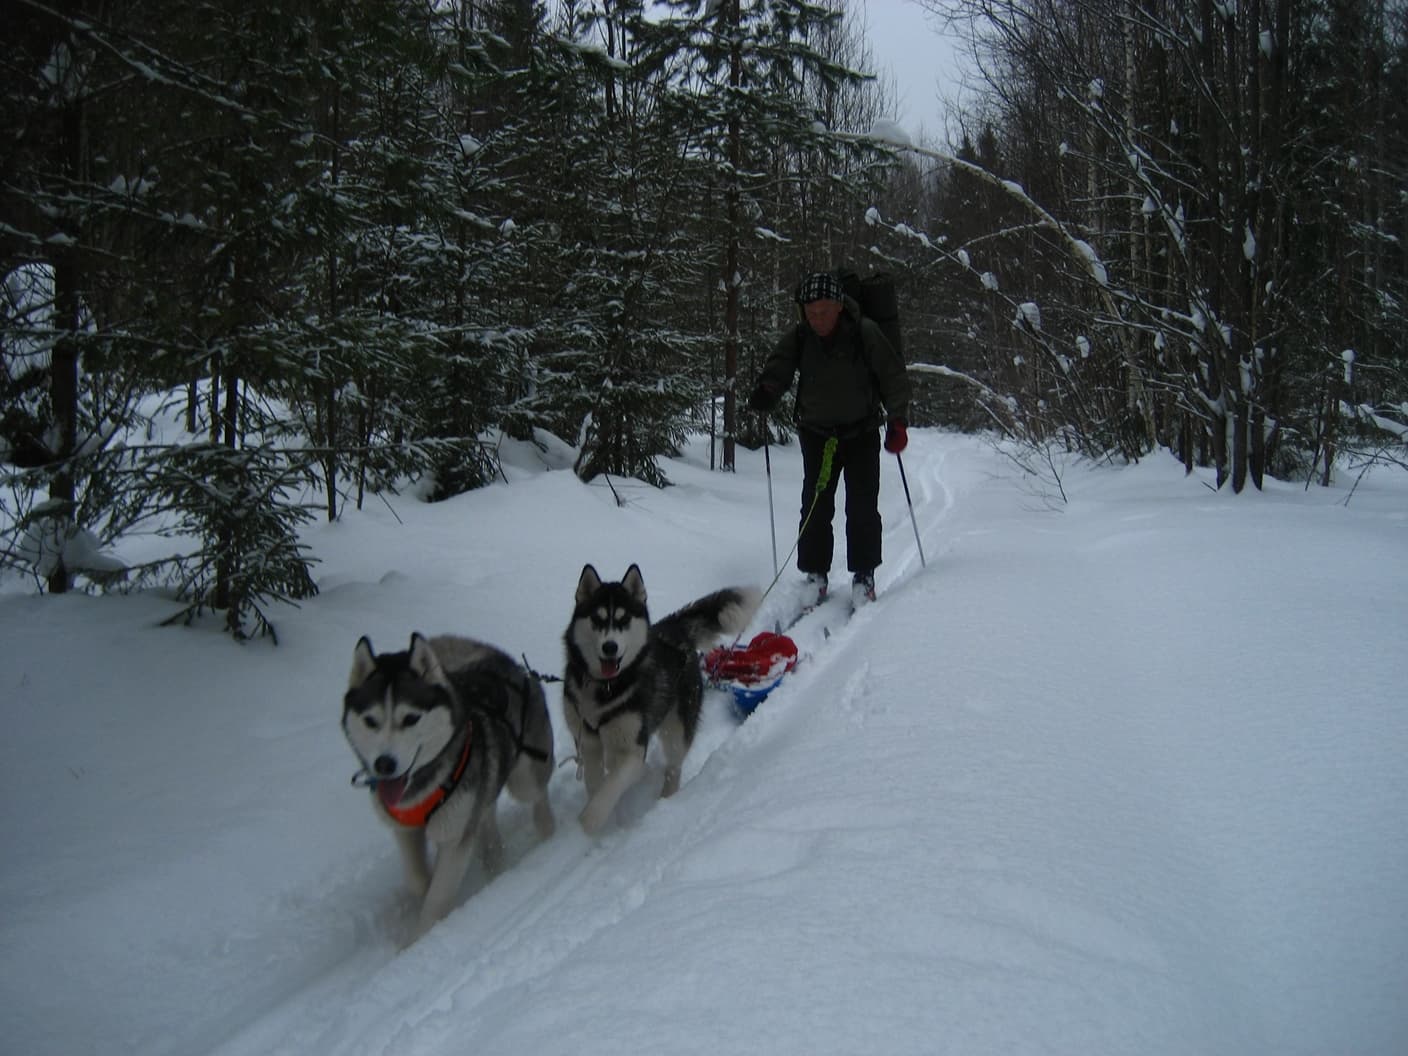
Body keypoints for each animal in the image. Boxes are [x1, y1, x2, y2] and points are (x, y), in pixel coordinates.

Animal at [340, 633, 554, 940]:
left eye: (410, 718)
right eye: (371, 721)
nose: (384, 764)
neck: (421, 786)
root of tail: (503, 659)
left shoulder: (453, 839)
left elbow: (437, 898)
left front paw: (419, 938)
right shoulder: (404, 828)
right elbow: (418, 880)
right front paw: (423, 885)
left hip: (524, 778)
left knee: (537, 797)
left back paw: (547, 833)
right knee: (486, 812)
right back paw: (493, 856)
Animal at [560, 566, 760, 833]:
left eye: (624, 620)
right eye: (597, 619)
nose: (610, 647)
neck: (605, 688)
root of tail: (674, 628)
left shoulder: (633, 748)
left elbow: (612, 783)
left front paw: (590, 821)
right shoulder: (588, 742)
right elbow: (597, 784)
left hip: (677, 728)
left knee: (674, 765)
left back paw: (667, 798)